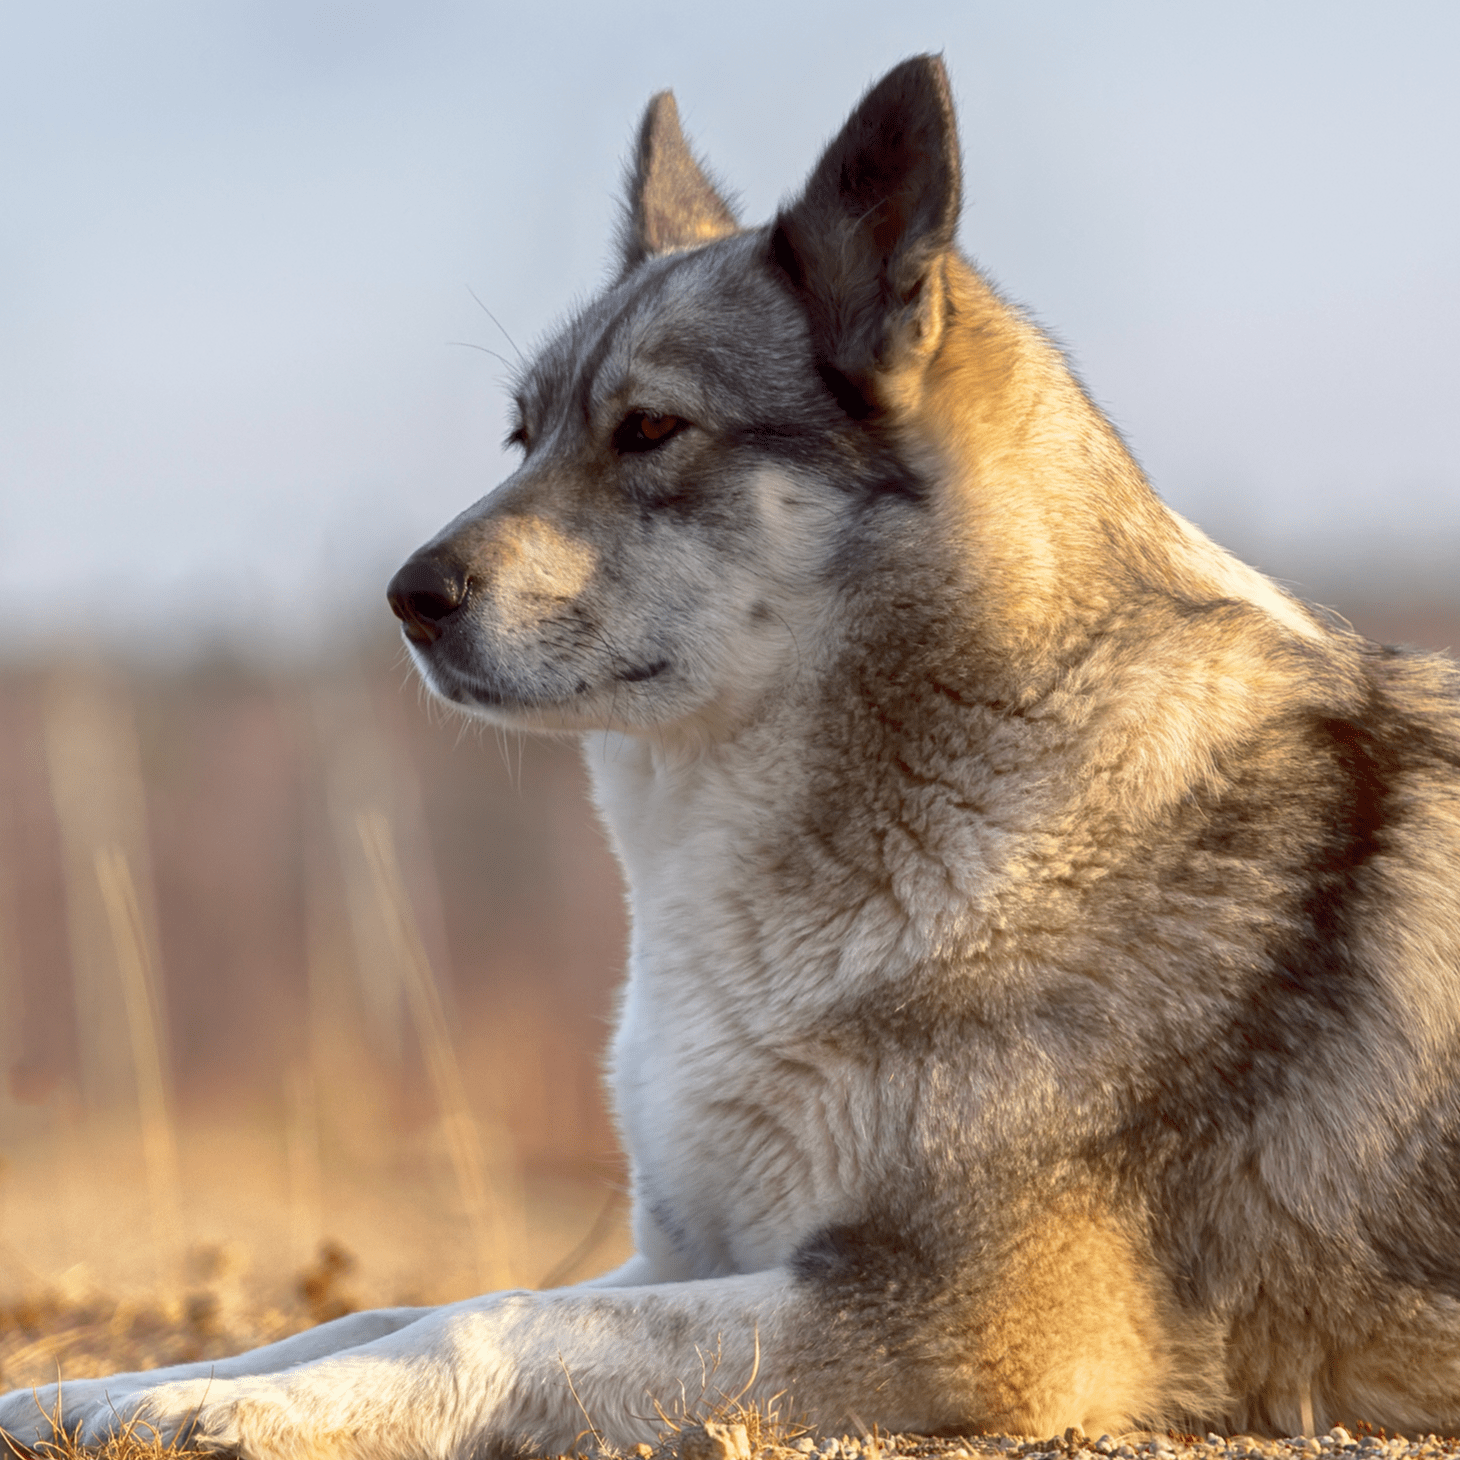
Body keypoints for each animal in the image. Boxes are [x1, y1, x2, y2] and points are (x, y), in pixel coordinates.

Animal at [8, 51, 1460, 1454]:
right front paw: (131, 1386)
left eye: (650, 428)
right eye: (521, 436)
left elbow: (487, 1321)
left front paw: (225, 1413)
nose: (405, 597)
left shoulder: (962, 1319)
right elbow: (392, 1305)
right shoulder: (687, 1252)